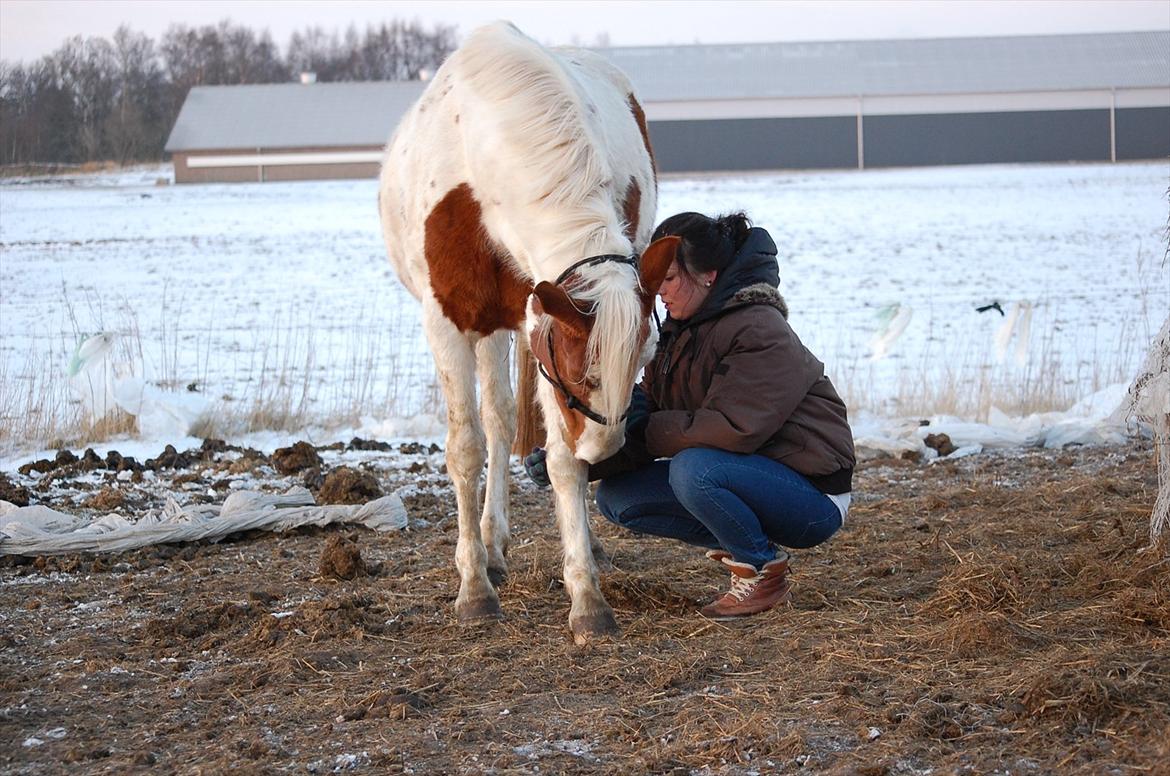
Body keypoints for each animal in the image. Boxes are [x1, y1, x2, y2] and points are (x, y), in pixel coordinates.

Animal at [379, 22, 678, 641]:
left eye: (643, 361)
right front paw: (474, 588)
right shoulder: (451, 324)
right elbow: (465, 448)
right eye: (577, 370)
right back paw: (488, 549)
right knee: (492, 423)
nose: (605, 449)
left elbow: (562, 461)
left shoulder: (536, 316)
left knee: (508, 424)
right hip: (484, 330)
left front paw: (586, 595)